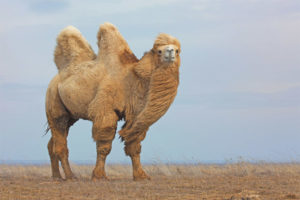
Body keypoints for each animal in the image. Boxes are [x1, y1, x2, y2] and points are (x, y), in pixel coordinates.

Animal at [44, 22, 180, 180]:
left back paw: (57, 176)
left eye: (178, 50)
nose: (170, 52)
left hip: (71, 115)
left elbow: (135, 146)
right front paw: (99, 175)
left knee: (53, 142)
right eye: (158, 51)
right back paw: (70, 176)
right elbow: (104, 146)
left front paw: (141, 175)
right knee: (60, 140)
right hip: (53, 100)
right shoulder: (105, 110)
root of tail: (55, 79)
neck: (134, 80)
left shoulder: (135, 117)